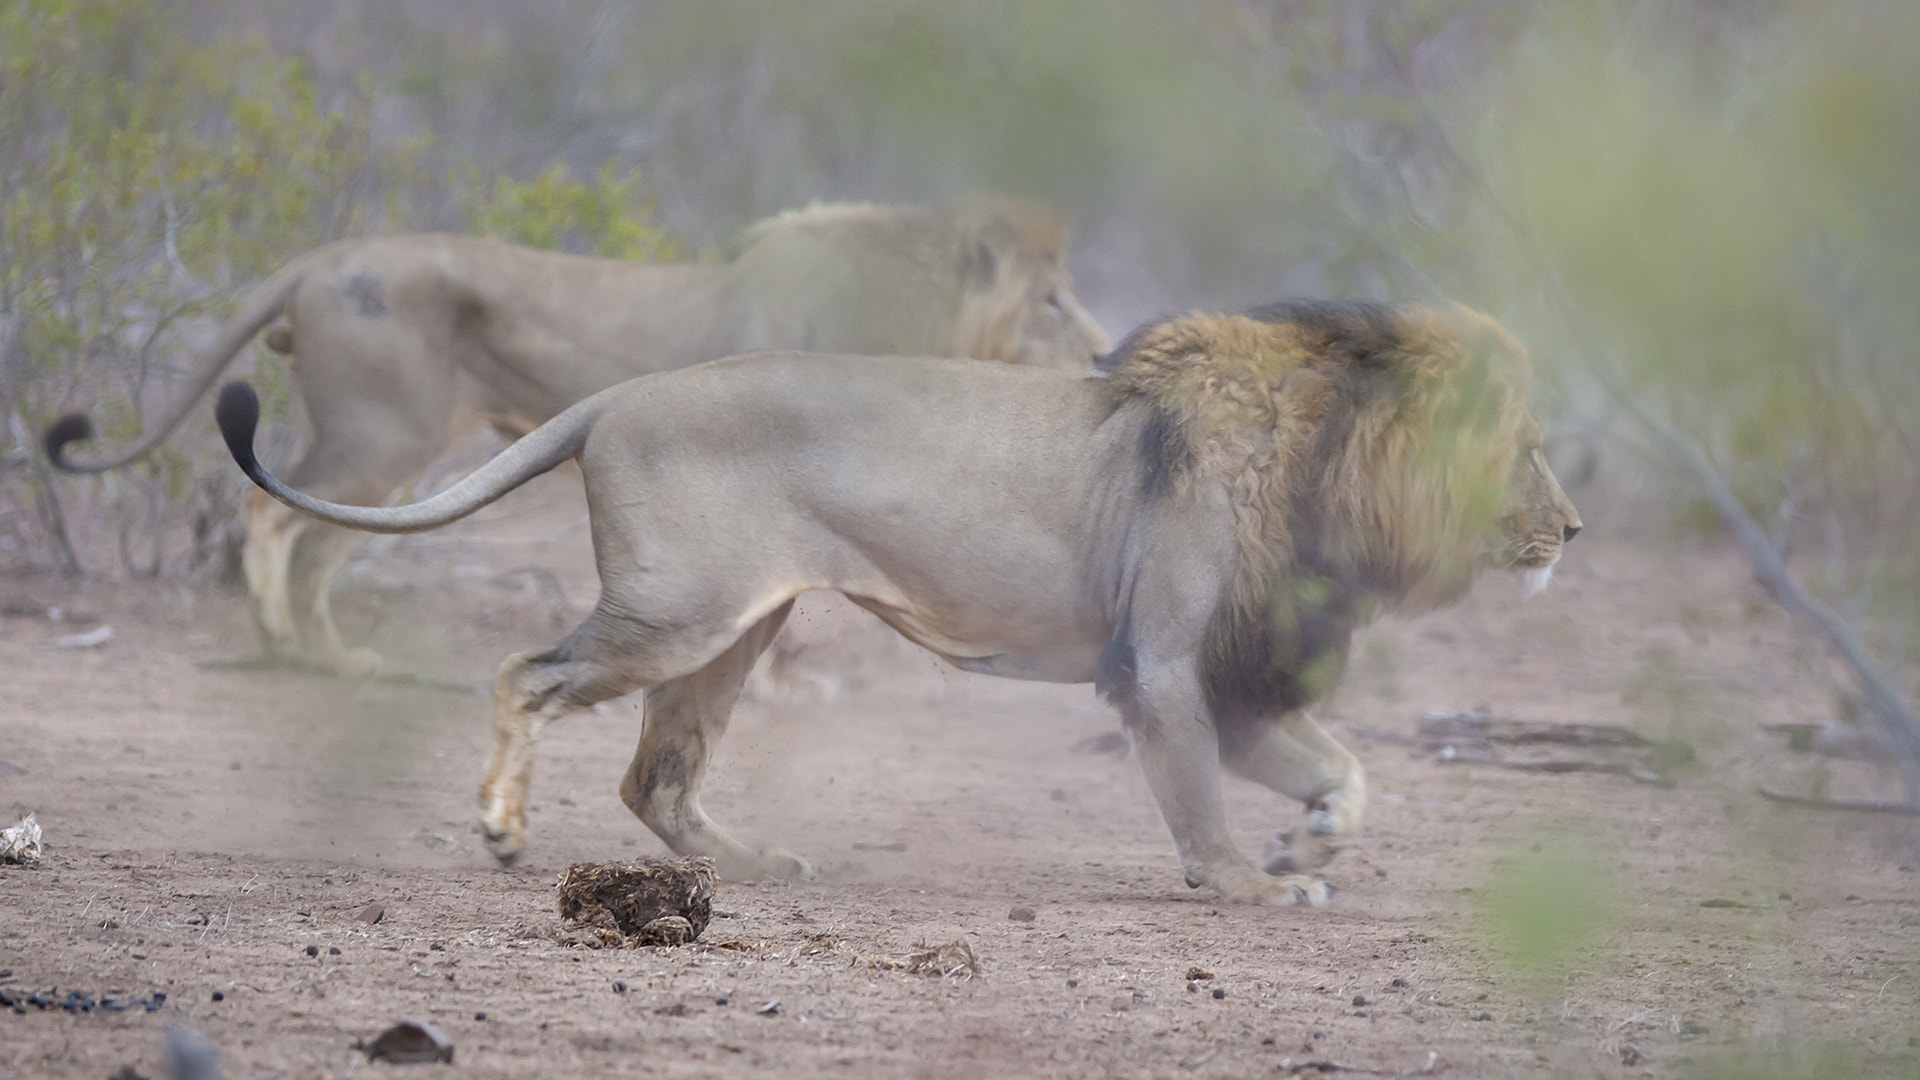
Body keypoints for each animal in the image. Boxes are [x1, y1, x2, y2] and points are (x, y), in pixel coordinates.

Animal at [45, 193, 1113, 672]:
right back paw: (288, 647)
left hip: (403, 457)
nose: (1107, 352)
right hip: (383, 435)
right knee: (274, 521)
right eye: (1054, 301)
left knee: (318, 541)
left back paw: (340, 657)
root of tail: (322, 256)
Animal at [217, 297, 1582, 903]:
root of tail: (616, 397)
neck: (1330, 465)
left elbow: (1347, 771)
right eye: (1526, 449)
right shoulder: (1164, 664)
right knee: (525, 675)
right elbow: (1199, 796)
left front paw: (1309, 844)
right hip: (681, 611)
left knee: (654, 777)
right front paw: (1248, 879)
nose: (1573, 529)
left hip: (739, 626)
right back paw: (502, 829)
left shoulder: (1238, 678)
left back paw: (755, 864)